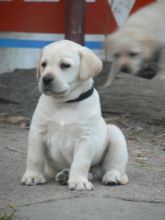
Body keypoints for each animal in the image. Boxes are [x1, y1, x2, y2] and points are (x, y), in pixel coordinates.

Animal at [21, 40, 128, 191]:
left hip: (116, 134)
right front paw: (33, 176)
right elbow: (34, 157)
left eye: (65, 65)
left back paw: (112, 177)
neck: (65, 103)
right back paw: (65, 175)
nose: (46, 79)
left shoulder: (85, 138)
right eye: (44, 64)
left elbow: (80, 162)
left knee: (114, 167)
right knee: (89, 173)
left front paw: (78, 181)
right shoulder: (37, 132)